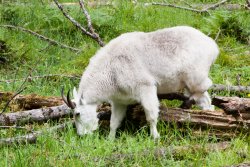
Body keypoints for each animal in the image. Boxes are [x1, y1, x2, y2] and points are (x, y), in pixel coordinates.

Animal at [62, 25, 219, 139]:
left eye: (77, 114)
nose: (81, 135)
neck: (110, 70)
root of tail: (212, 46)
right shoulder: (119, 101)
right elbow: (114, 122)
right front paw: (110, 140)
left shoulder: (146, 88)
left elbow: (151, 115)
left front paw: (155, 136)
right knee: (206, 100)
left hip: (195, 77)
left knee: (205, 89)